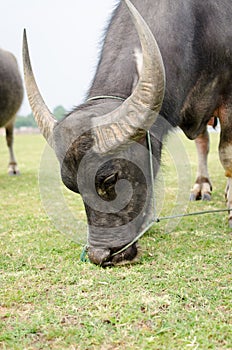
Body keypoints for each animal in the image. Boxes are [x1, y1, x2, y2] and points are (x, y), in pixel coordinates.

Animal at [22, 0, 232, 266]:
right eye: (72, 186)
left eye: (110, 179)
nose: (100, 255)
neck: (197, 26)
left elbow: (227, 154)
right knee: (202, 141)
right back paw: (201, 187)